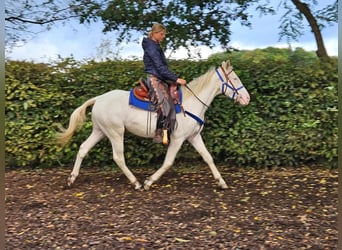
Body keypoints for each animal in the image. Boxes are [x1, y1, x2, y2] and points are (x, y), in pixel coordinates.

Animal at [56, 60, 248, 189]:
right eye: (235, 79)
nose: (247, 98)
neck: (191, 102)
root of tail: (99, 99)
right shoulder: (178, 138)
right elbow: (168, 161)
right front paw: (149, 181)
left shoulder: (194, 136)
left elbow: (208, 157)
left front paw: (221, 182)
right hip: (115, 133)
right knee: (118, 157)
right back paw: (136, 183)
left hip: (100, 131)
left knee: (83, 148)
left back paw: (71, 179)